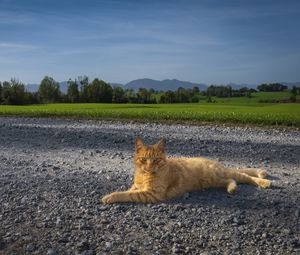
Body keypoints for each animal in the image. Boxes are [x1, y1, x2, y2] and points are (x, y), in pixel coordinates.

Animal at [101, 136, 272, 204]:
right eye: (144, 160)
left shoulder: (152, 194)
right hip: (215, 180)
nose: (149, 167)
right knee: (232, 180)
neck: (143, 176)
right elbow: (130, 189)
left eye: (156, 160)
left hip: (220, 174)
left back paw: (264, 182)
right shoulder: (138, 186)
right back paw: (232, 189)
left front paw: (110, 196)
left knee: (244, 176)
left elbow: (126, 194)